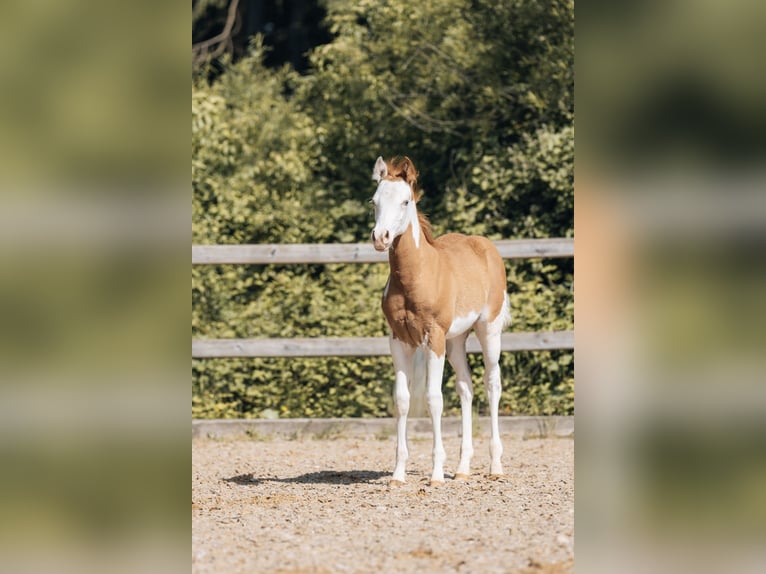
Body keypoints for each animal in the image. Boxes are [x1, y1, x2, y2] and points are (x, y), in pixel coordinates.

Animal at [370, 155, 512, 488]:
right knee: (466, 387)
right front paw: (397, 475)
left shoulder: (433, 337)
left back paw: (495, 466)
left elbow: (434, 399)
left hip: (488, 330)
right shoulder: (399, 340)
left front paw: (435, 474)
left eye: (406, 201)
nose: (381, 238)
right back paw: (462, 469)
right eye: (374, 201)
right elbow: (402, 400)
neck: (415, 278)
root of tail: (486, 247)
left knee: (492, 384)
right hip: (456, 339)